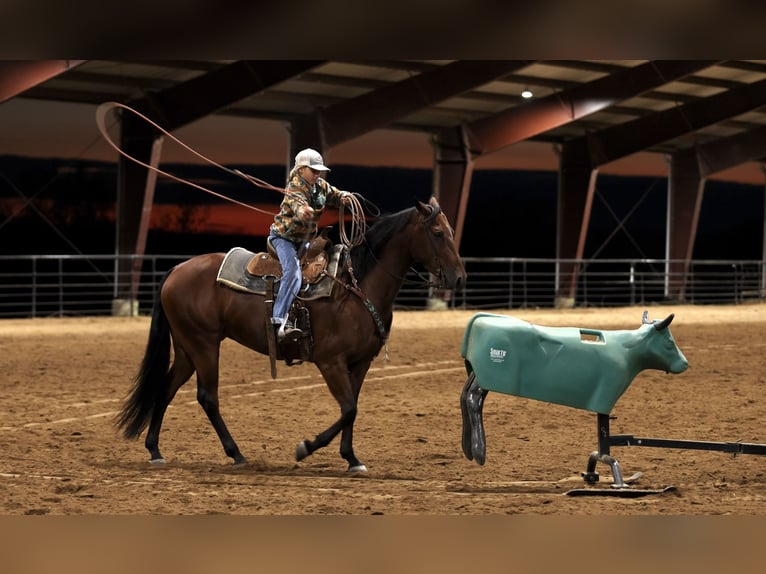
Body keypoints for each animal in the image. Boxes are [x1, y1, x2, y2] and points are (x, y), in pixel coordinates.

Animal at [116, 196, 467, 472]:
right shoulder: (330, 362)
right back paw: (236, 453)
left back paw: (155, 450)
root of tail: (176, 270)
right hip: (204, 345)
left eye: (452, 232)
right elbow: (348, 408)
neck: (356, 288)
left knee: (165, 389)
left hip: (187, 347)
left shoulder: (360, 363)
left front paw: (352, 458)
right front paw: (306, 447)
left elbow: (352, 408)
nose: (460, 277)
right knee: (207, 397)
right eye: (437, 233)